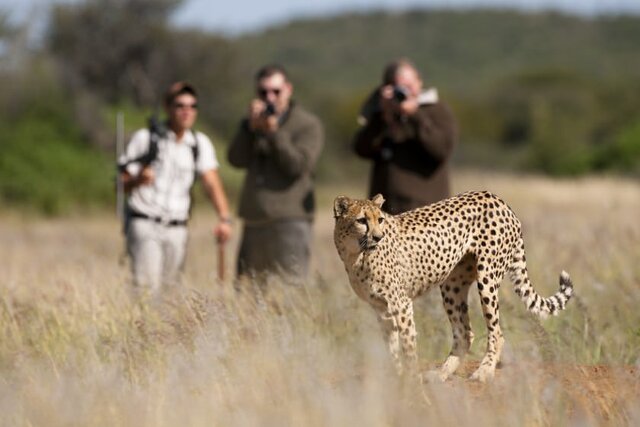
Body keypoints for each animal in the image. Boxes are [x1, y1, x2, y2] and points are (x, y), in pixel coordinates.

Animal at [332, 192, 572, 382]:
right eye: (362, 220)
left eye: (380, 219)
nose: (378, 237)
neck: (356, 255)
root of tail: (498, 199)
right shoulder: (381, 309)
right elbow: (391, 348)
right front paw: (397, 377)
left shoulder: (401, 304)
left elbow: (408, 347)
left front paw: (410, 381)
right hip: (452, 286)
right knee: (465, 333)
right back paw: (441, 373)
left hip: (487, 278)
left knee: (496, 332)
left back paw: (484, 372)